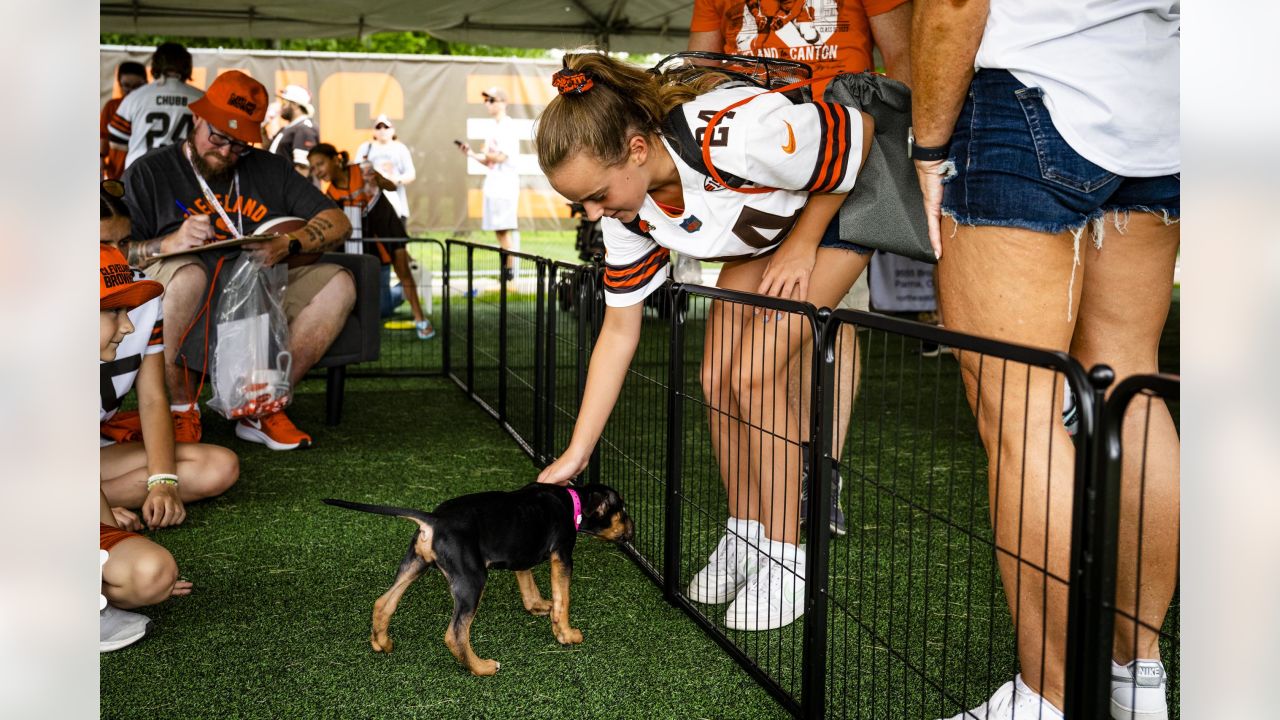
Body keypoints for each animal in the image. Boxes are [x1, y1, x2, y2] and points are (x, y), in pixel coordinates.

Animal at [322, 481, 632, 671]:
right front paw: (566, 635)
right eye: (623, 510)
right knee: (455, 634)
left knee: (383, 602)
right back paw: (482, 668)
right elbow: (562, 601)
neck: (573, 501)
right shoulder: (563, 556)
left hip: (414, 564)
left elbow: (527, 579)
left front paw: (537, 606)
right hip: (471, 580)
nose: (633, 529)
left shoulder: (521, 552)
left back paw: (381, 643)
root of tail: (434, 520)